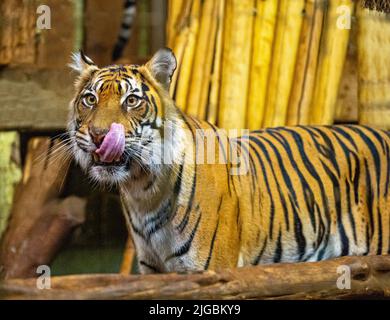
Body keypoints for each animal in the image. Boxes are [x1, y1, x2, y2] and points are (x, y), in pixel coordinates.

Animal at [68, 48, 390, 274]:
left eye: (132, 101)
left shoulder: (210, 269)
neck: (142, 189)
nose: (99, 135)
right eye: (90, 99)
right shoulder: (153, 270)